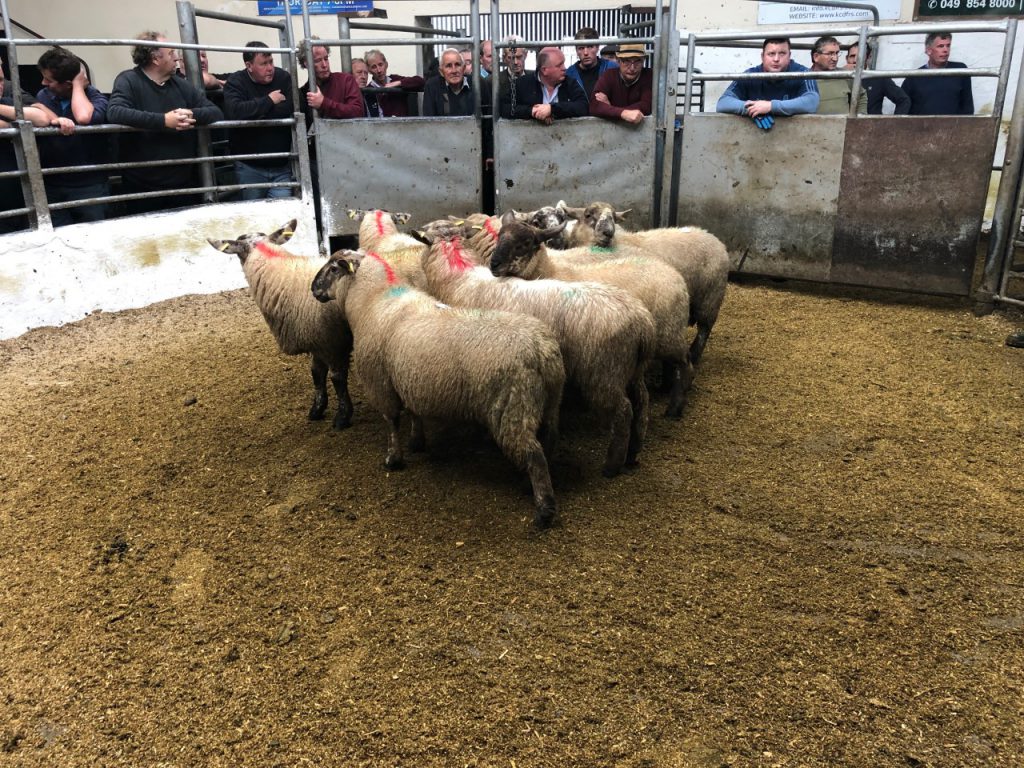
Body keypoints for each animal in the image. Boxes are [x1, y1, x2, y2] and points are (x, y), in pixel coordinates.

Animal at [208, 219, 354, 430]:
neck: (283, 276)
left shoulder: (332, 343)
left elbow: (337, 378)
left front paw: (343, 417)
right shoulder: (316, 339)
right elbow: (317, 374)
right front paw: (317, 409)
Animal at [310, 248, 565, 529]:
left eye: (334, 269)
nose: (313, 288)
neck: (372, 299)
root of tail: (541, 350)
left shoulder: (381, 384)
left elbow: (392, 422)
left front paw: (393, 459)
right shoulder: (408, 378)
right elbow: (413, 413)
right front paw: (416, 441)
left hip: (513, 408)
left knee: (534, 455)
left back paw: (544, 510)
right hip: (550, 402)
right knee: (548, 440)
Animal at [413, 218, 656, 478]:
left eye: (524, 243)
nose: (495, 263)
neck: (459, 278)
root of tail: (642, 322)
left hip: (604, 373)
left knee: (623, 413)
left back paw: (612, 466)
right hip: (632, 370)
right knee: (642, 403)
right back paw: (633, 453)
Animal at [489, 212, 694, 418]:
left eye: (525, 243)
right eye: (499, 236)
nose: (494, 264)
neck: (550, 270)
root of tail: (676, 276)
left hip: (669, 334)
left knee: (685, 364)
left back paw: (675, 406)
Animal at [556, 201, 729, 366]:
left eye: (614, 217)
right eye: (588, 215)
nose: (608, 233)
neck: (619, 241)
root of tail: (714, 239)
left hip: (711, 299)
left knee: (704, 330)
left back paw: (694, 355)